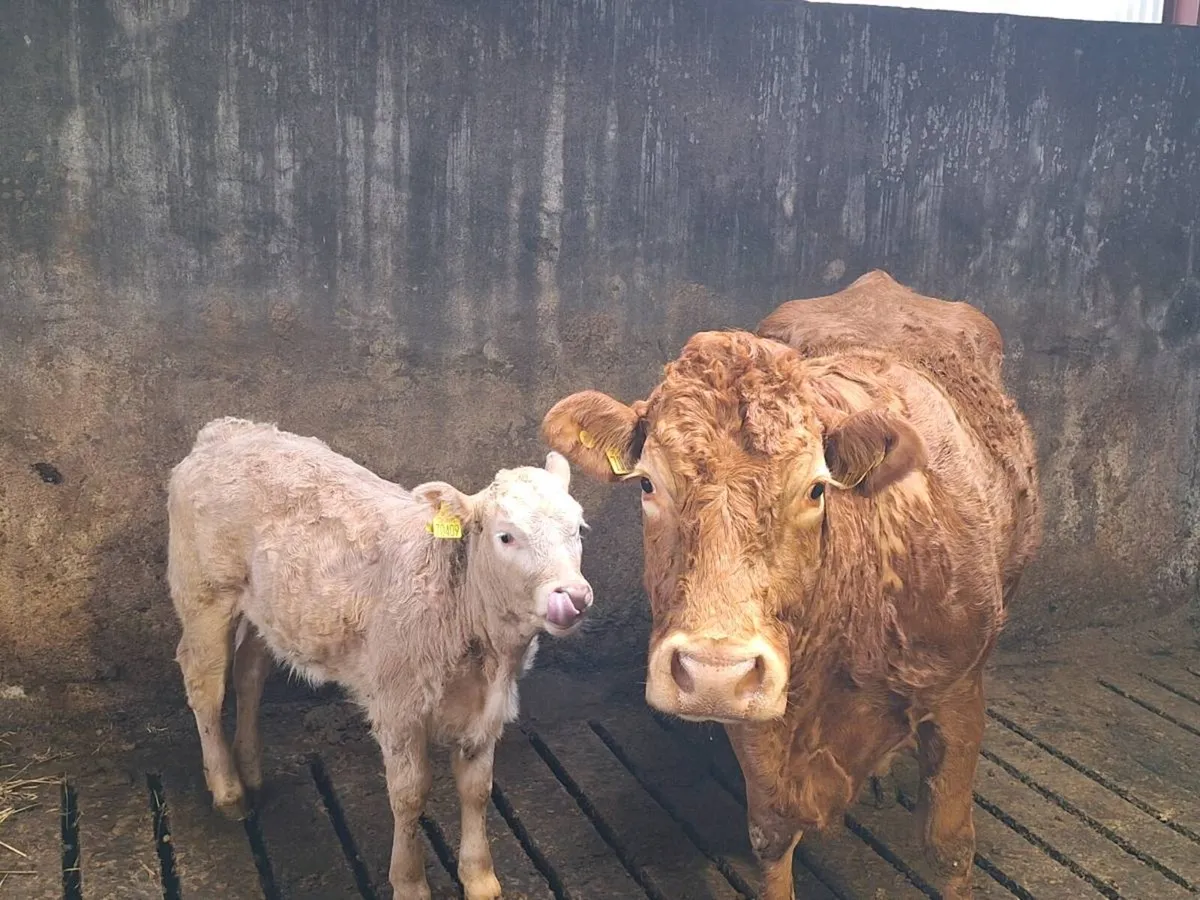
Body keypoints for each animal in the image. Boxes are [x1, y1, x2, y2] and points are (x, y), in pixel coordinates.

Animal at [167, 417, 593, 900]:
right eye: (507, 536)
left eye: (579, 529)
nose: (573, 597)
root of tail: (226, 432)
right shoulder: (398, 705)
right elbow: (410, 795)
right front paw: (409, 882)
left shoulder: (487, 708)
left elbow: (477, 789)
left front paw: (480, 878)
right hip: (203, 591)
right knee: (204, 682)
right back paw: (228, 790)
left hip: (265, 607)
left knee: (250, 672)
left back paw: (251, 768)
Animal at [540, 285, 1040, 900]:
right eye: (648, 484)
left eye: (816, 489)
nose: (714, 672)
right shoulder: (758, 724)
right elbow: (771, 837)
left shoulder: (959, 694)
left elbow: (949, 848)